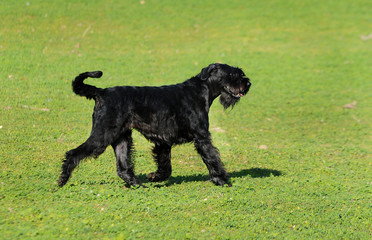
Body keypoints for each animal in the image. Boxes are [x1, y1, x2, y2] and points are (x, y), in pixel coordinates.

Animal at [57, 63, 250, 188]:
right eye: (233, 75)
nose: (248, 83)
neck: (201, 91)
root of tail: (101, 92)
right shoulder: (201, 137)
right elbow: (212, 158)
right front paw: (222, 180)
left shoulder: (163, 141)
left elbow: (166, 166)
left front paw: (154, 177)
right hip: (101, 136)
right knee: (73, 153)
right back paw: (62, 181)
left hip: (122, 138)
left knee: (123, 167)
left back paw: (138, 184)